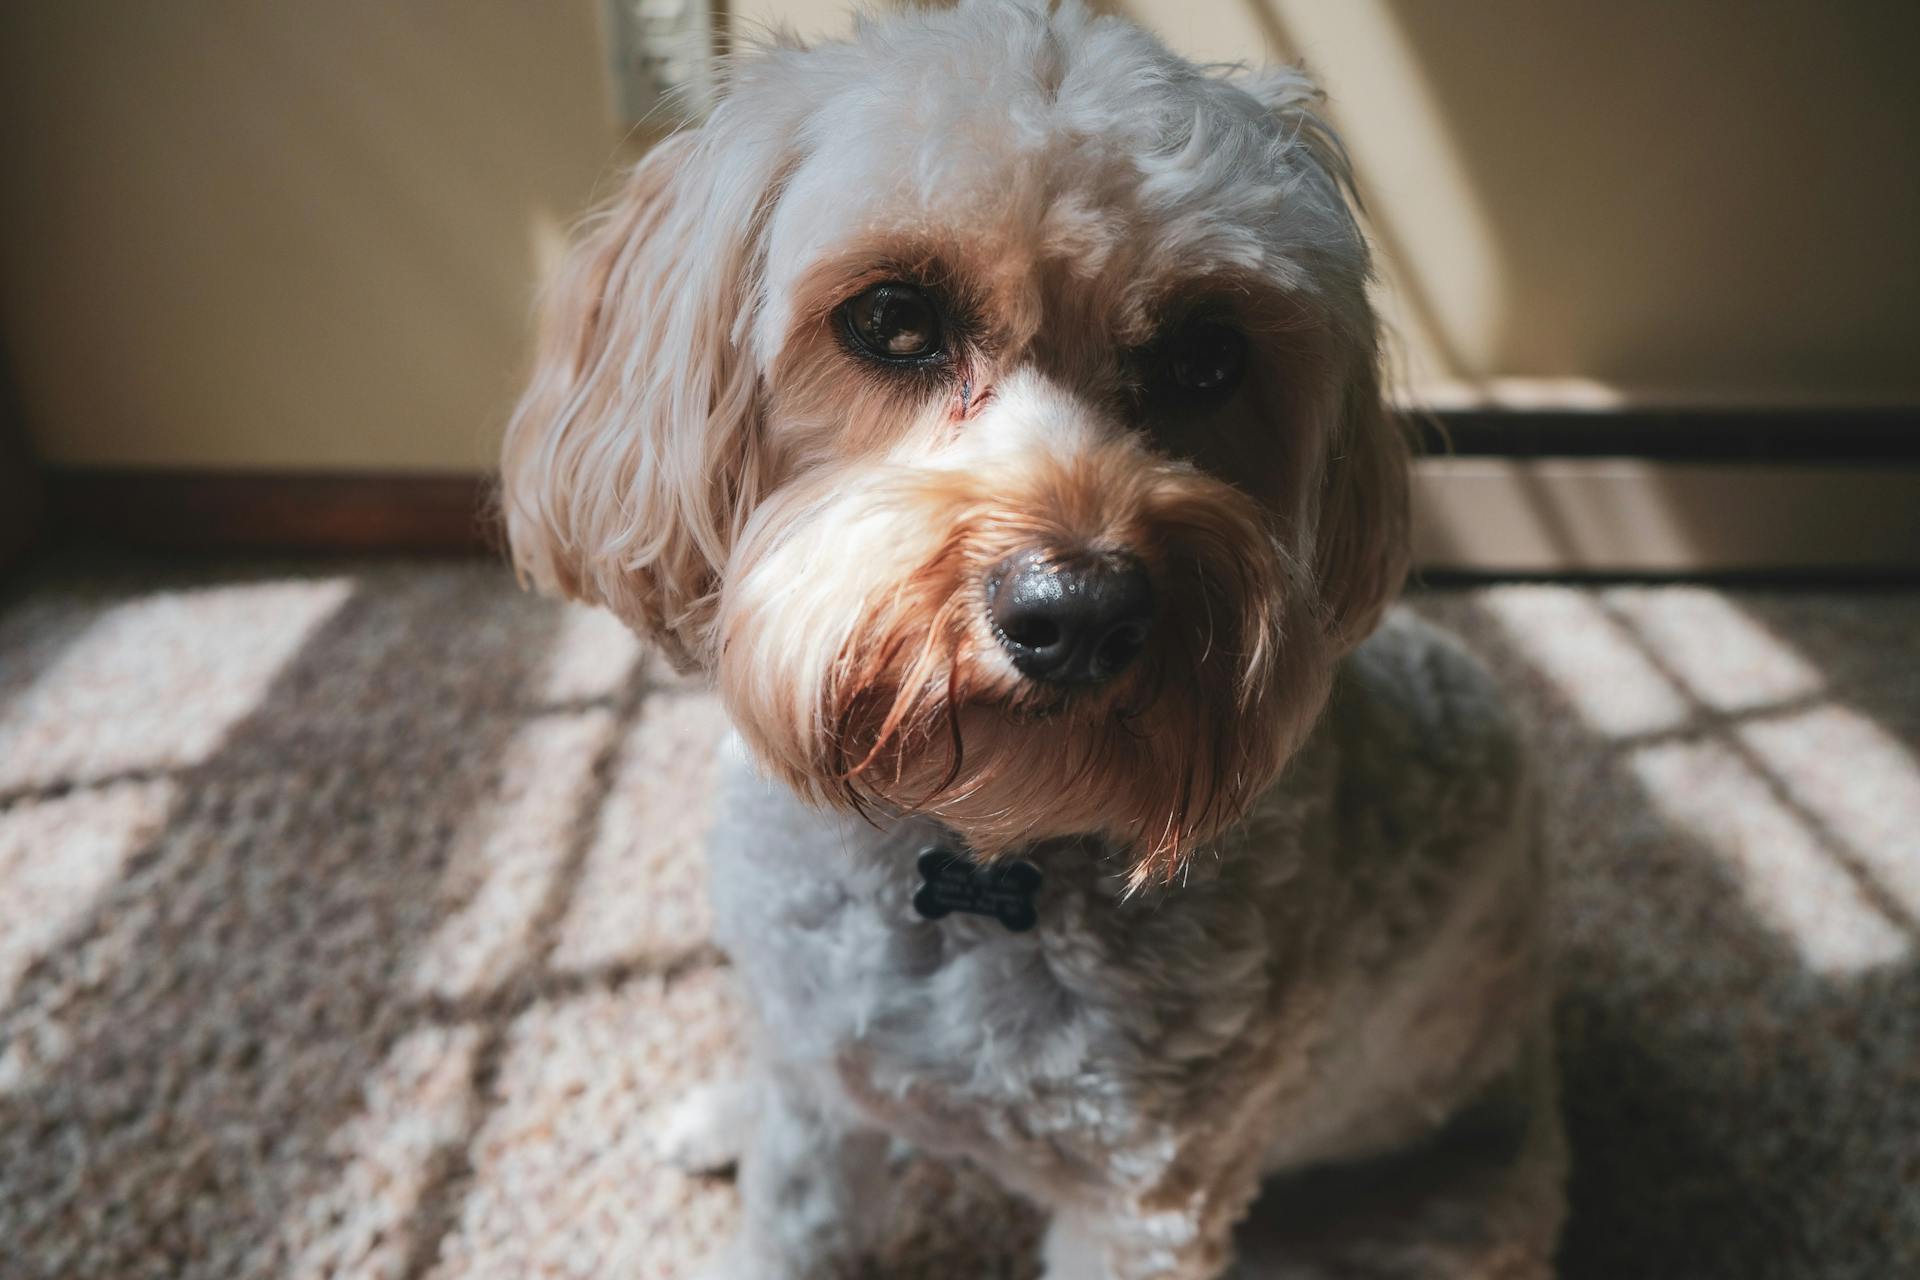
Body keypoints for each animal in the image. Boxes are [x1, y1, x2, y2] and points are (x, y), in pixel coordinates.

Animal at [495, 2, 1559, 1280]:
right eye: (893, 318)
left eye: (1211, 354)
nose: (1079, 611)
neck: (969, 848)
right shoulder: (818, 1106)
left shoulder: (1143, 1206)